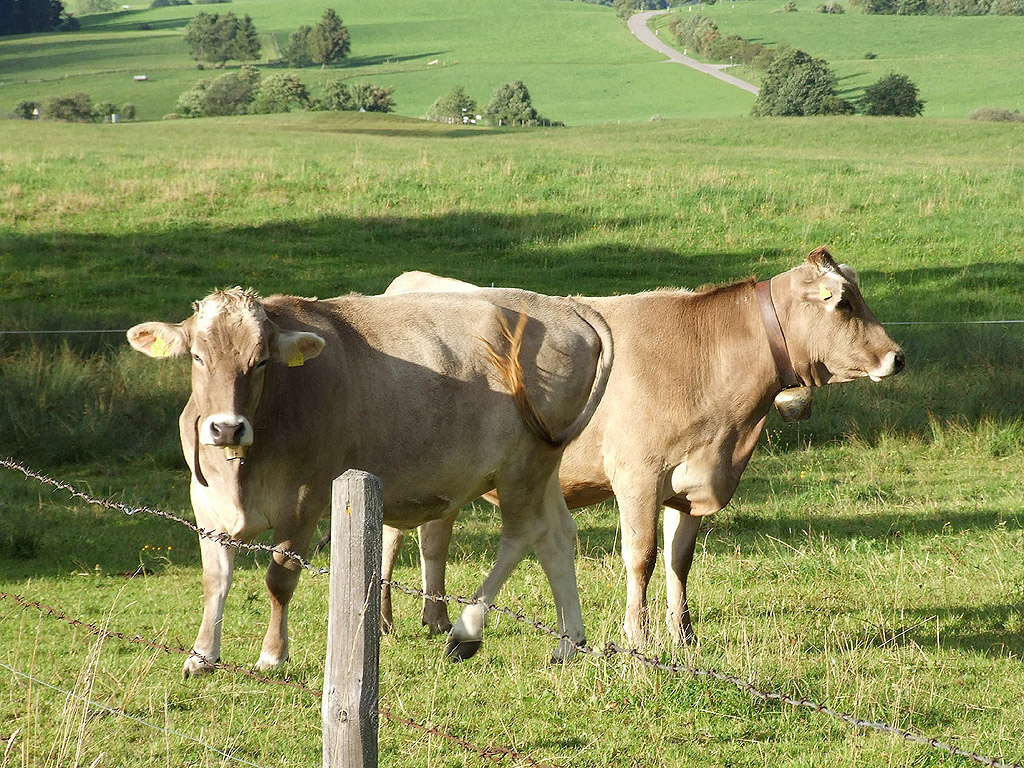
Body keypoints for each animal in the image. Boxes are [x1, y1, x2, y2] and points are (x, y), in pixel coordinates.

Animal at [126, 286, 606, 675]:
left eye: (260, 361)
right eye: (197, 356)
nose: (226, 428)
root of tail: (563, 307)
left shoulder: (303, 502)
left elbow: (279, 578)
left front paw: (272, 655)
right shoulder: (206, 506)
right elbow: (215, 580)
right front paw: (202, 655)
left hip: (522, 465)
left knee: (523, 533)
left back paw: (466, 632)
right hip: (544, 464)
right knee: (556, 537)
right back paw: (568, 645)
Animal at [378, 249, 905, 647]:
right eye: (843, 304)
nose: (897, 357)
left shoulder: (688, 484)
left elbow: (679, 560)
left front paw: (684, 635)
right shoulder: (637, 474)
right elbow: (642, 555)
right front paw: (637, 635)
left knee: (433, 536)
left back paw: (436, 618)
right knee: (394, 535)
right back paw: (384, 617)